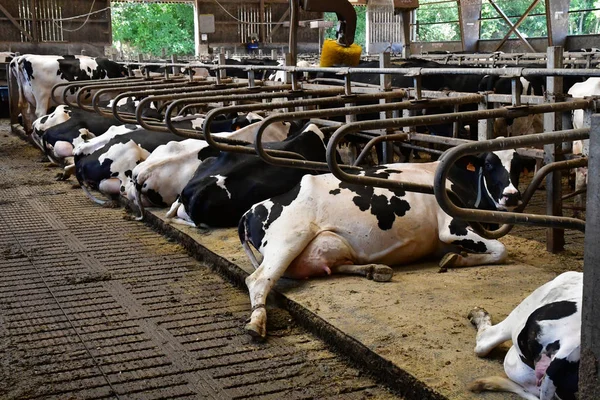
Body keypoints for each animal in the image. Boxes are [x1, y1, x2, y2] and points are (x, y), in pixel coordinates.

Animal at [239, 147, 524, 338]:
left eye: (518, 165)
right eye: (489, 165)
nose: (511, 196)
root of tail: (251, 209)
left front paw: (455, 257)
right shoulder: (451, 228)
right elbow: (501, 250)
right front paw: (454, 259)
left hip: (331, 245)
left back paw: (375, 270)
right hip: (288, 240)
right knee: (257, 279)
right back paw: (256, 322)